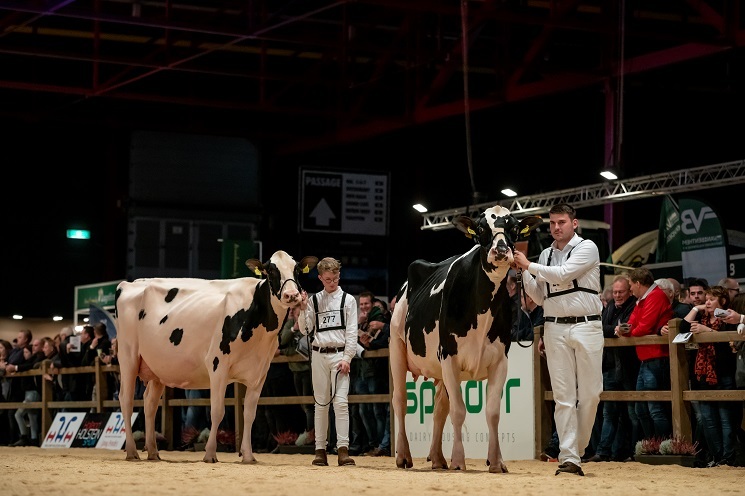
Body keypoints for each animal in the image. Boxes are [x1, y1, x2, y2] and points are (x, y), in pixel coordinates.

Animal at [116, 250, 316, 464]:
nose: (292, 295)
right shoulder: (218, 364)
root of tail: (129, 283)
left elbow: (250, 414)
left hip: (157, 368)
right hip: (128, 357)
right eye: (270, 270)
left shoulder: (260, 371)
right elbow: (217, 411)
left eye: (297, 270)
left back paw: (153, 452)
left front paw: (248, 455)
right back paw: (132, 451)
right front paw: (210, 453)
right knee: (126, 401)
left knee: (150, 403)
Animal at [386, 205, 536, 472]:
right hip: (396, 348)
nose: (501, 250)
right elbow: (458, 411)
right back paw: (403, 455)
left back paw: (437, 458)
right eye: (481, 228)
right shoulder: (449, 356)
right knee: (400, 401)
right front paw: (458, 460)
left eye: (515, 228)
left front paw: (496, 461)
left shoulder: (500, 360)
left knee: (439, 408)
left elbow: (492, 412)